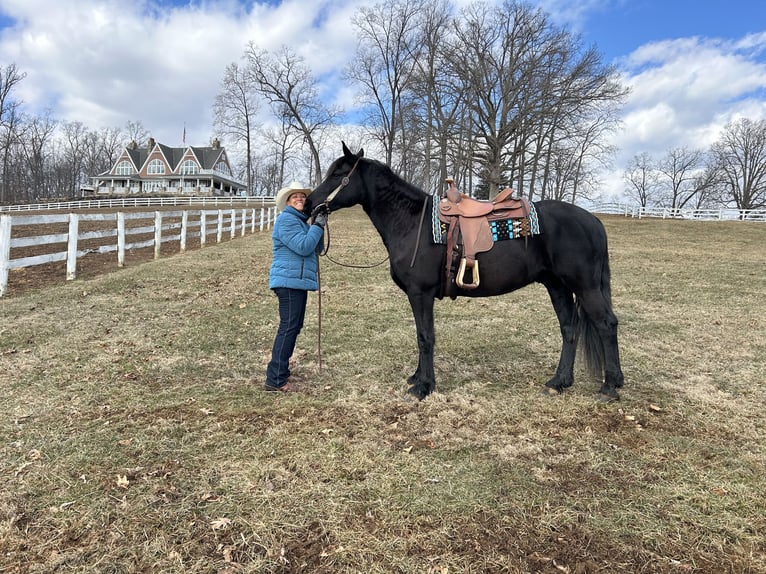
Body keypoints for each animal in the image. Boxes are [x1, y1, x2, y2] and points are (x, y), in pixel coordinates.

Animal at [308, 144, 628, 402]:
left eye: (339, 174)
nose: (310, 203)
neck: (412, 223)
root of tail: (593, 221)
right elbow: (421, 335)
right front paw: (417, 377)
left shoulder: (420, 294)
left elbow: (425, 336)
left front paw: (423, 387)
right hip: (557, 286)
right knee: (569, 329)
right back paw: (559, 382)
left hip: (585, 286)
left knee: (606, 324)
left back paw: (610, 387)